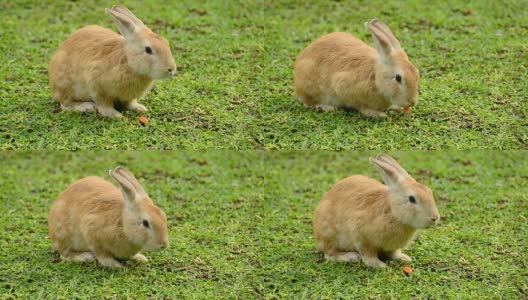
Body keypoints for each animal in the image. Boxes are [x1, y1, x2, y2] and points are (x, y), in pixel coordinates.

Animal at [292, 18, 420, 117]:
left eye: (417, 74)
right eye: (398, 78)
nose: (412, 102)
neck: (375, 77)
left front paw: (394, 107)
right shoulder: (343, 87)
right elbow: (361, 107)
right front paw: (379, 114)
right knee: (309, 103)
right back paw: (326, 107)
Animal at [312, 154, 440, 268]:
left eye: (429, 191)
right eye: (412, 199)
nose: (435, 218)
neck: (393, 213)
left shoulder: (392, 246)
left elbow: (394, 253)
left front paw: (404, 258)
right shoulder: (362, 238)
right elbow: (368, 256)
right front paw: (380, 265)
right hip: (329, 234)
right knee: (329, 254)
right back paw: (350, 257)